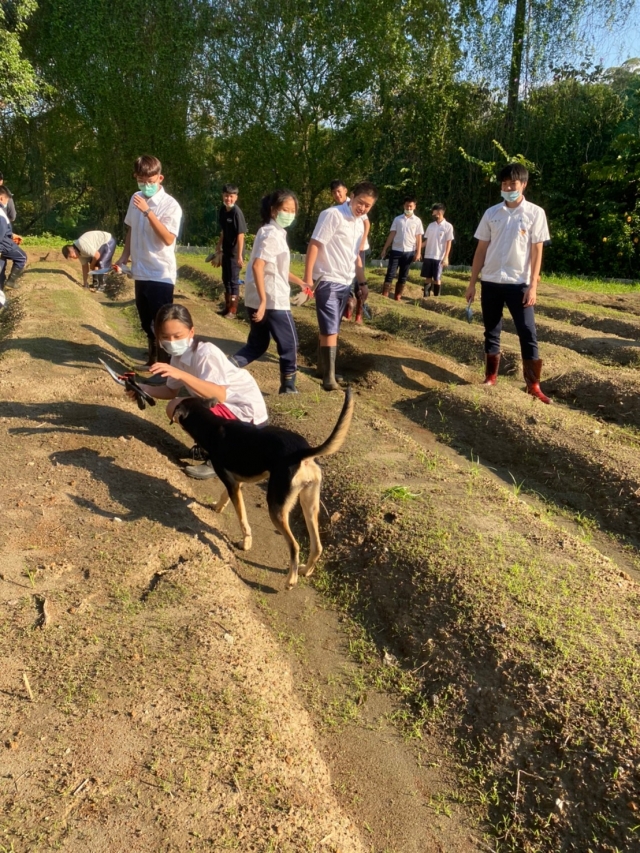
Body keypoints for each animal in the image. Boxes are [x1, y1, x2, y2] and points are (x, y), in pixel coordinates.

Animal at [172, 390, 356, 588]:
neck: (212, 426)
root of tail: (302, 453)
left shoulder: (231, 483)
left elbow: (243, 520)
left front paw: (245, 544)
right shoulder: (236, 483)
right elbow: (225, 497)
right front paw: (217, 507)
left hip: (277, 509)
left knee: (295, 545)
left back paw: (291, 580)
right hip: (310, 505)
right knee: (317, 546)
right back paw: (306, 571)